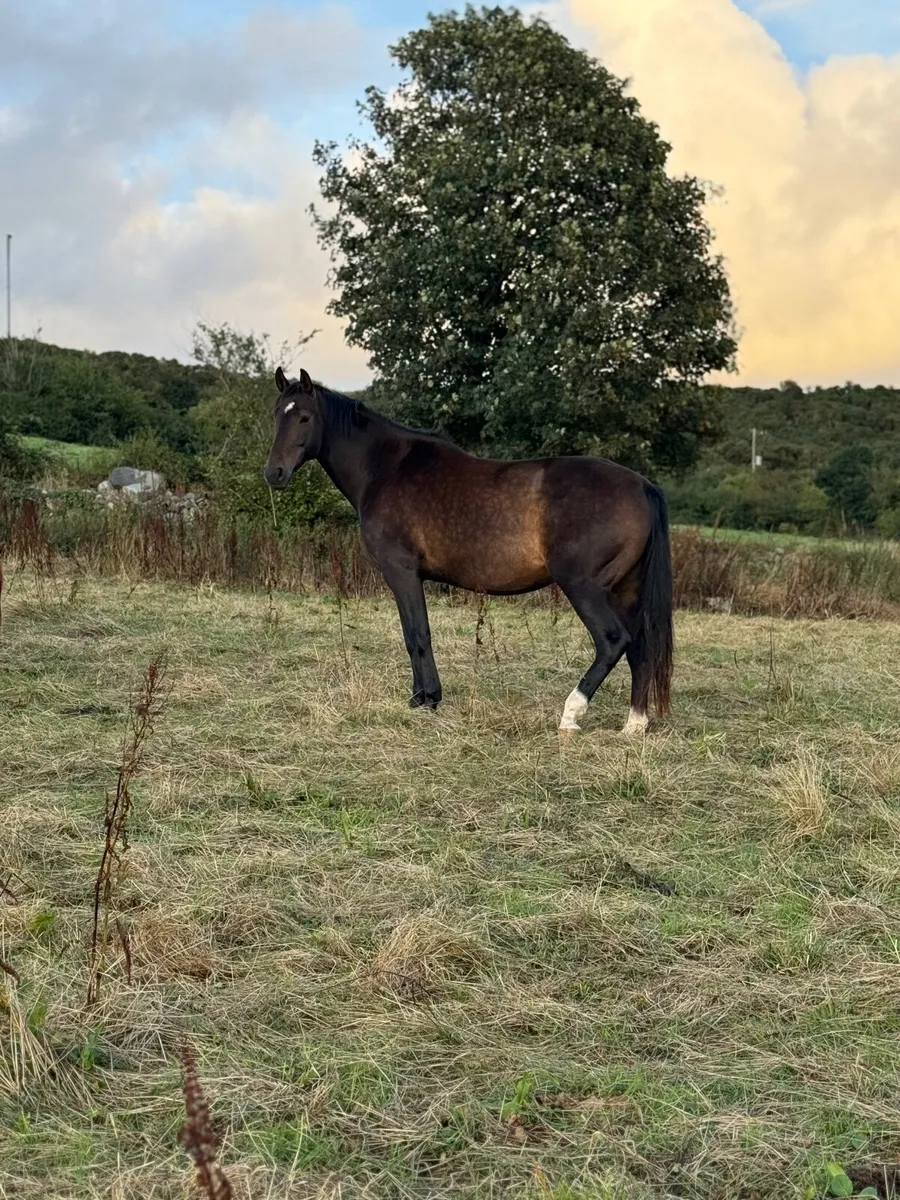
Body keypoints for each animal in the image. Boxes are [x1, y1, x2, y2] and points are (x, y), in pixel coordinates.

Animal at [263, 368, 673, 734]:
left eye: (304, 417)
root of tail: (641, 485)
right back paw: (634, 725)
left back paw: (571, 713)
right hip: (625, 590)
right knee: (639, 647)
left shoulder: (402, 573)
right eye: (276, 414)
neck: (386, 468)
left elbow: (417, 635)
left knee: (613, 641)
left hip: (584, 587)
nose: (274, 474)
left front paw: (426, 698)